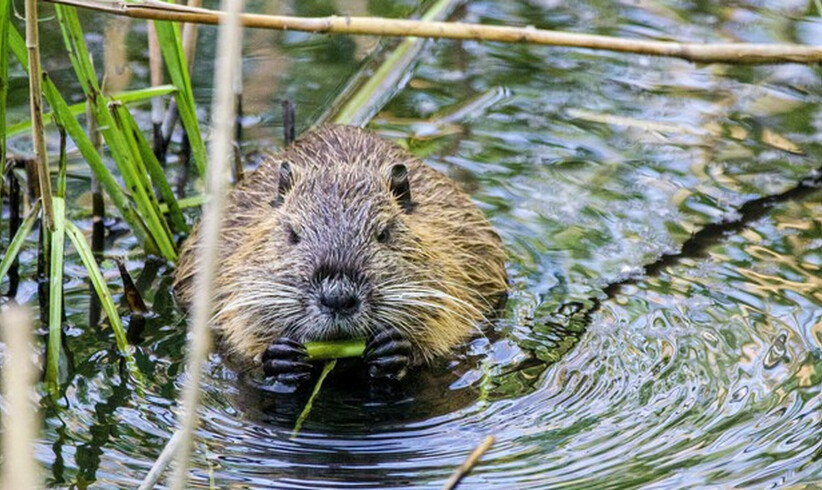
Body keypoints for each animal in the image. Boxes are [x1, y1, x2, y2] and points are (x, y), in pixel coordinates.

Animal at [175, 125, 508, 382]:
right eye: (293, 234)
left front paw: (395, 349)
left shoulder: (457, 254)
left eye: (384, 233)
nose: (337, 298)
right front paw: (280, 356)